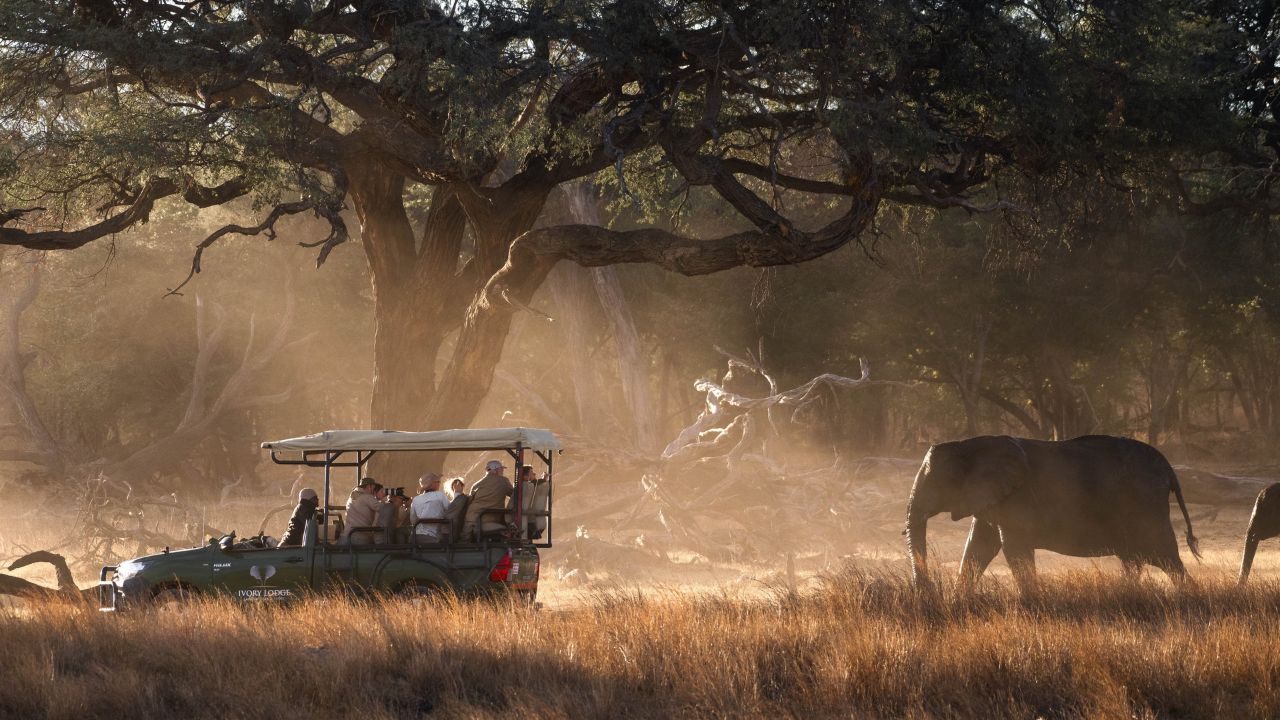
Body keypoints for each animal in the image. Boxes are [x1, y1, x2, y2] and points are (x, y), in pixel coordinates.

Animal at [905, 435, 1200, 593]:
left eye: (939, 483)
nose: (927, 593)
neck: (971, 444)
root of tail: (1169, 469)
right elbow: (979, 546)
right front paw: (958, 601)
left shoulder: (1018, 498)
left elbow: (1013, 548)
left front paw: (1032, 602)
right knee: (1137, 559)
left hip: (1146, 503)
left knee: (1165, 557)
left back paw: (1188, 597)